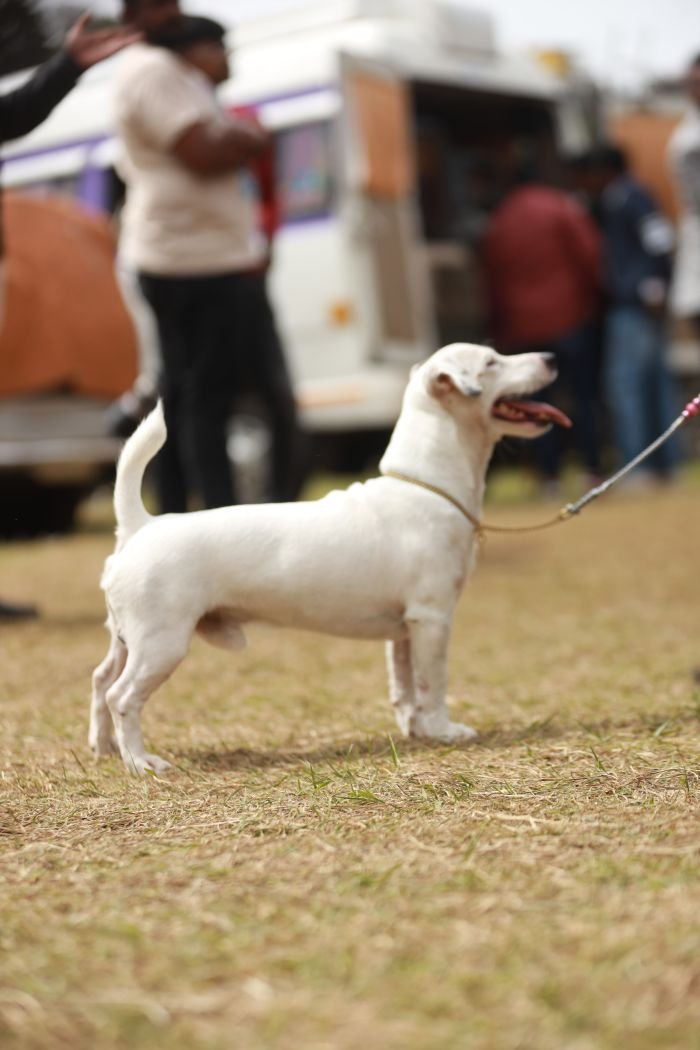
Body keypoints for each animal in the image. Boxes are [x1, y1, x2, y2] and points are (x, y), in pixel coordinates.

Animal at [89, 342, 570, 772]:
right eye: (491, 362)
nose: (551, 357)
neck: (425, 487)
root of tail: (141, 525)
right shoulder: (432, 620)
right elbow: (432, 685)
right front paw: (443, 730)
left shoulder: (405, 629)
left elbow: (404, 687)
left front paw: (416, 730)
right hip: (162, 644)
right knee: (121, 697)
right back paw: (140, 762)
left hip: (127, 640)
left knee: (100, 680)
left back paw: (104, 749)